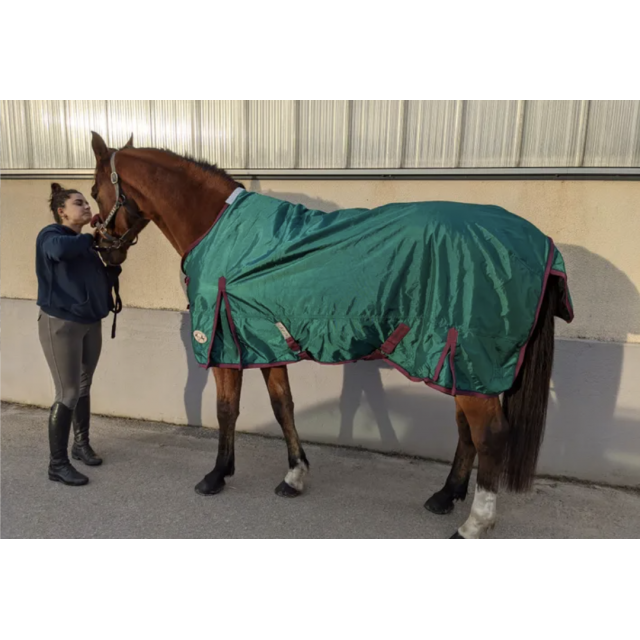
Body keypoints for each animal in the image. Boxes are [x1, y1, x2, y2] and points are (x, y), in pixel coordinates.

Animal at [89, 131, 573, 539]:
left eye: (94, 191)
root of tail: (541, 242)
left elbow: (227, 409)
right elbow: (283, 406)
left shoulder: (223, 341)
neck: (217, 228)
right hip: (461, 366)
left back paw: (474, 523)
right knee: (466, 430)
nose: (102, 250)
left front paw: (216, 475)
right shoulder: (264, 340)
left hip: (466, 357)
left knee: (489, 434)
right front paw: (294, 476)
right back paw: (444, 496)